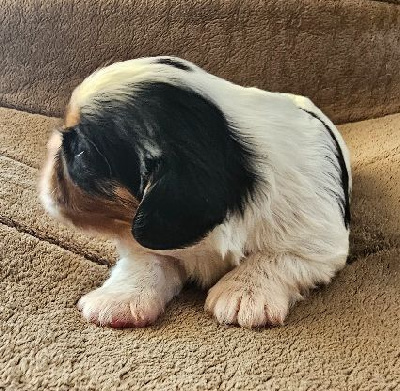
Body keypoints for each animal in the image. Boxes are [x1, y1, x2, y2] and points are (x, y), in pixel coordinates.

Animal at [39, 56, 350, 330]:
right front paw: (119, 299)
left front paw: (243, 294)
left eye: (80, 153)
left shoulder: (318, 245)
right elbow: (145, 260)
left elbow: (276, 257)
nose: (51, 145)